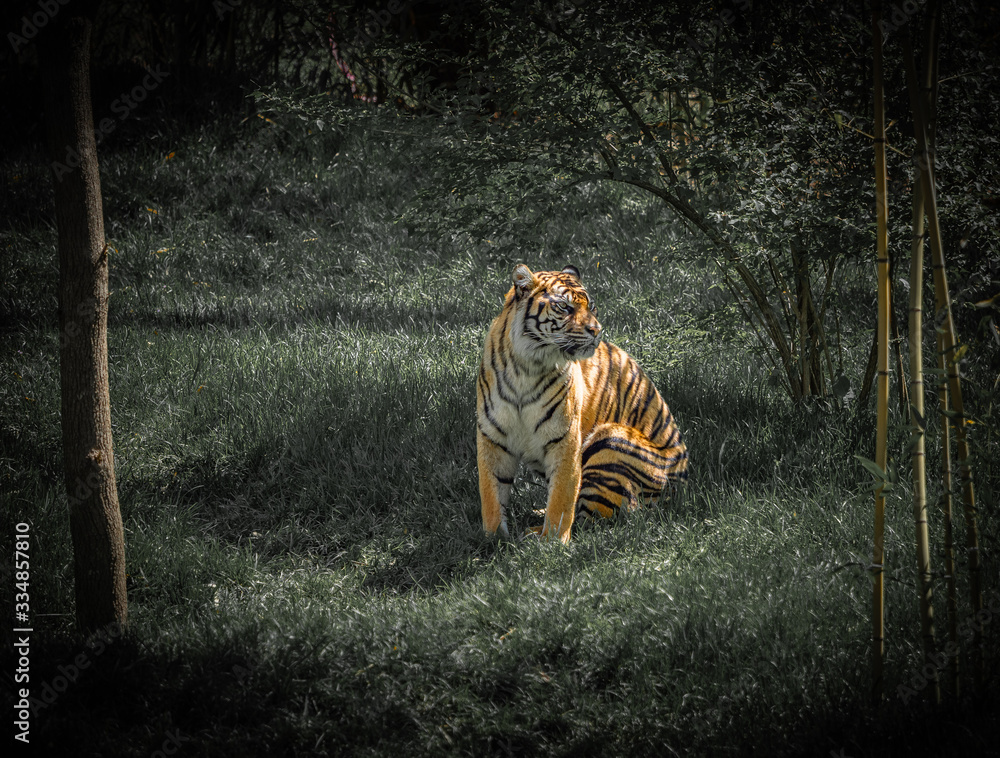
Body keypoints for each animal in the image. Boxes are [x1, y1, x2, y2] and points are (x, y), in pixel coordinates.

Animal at [476, 263, 688, 543]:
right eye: (564, 307)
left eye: (592, 306)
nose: (597, 330)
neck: (527, 367)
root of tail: (683, 487)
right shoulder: (492, 438)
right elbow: (491, 495)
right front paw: (493, 540)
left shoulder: (565, 439)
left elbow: (562, 497)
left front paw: (552, 542)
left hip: (612, 439)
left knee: (600, 520)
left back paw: (535, 532)